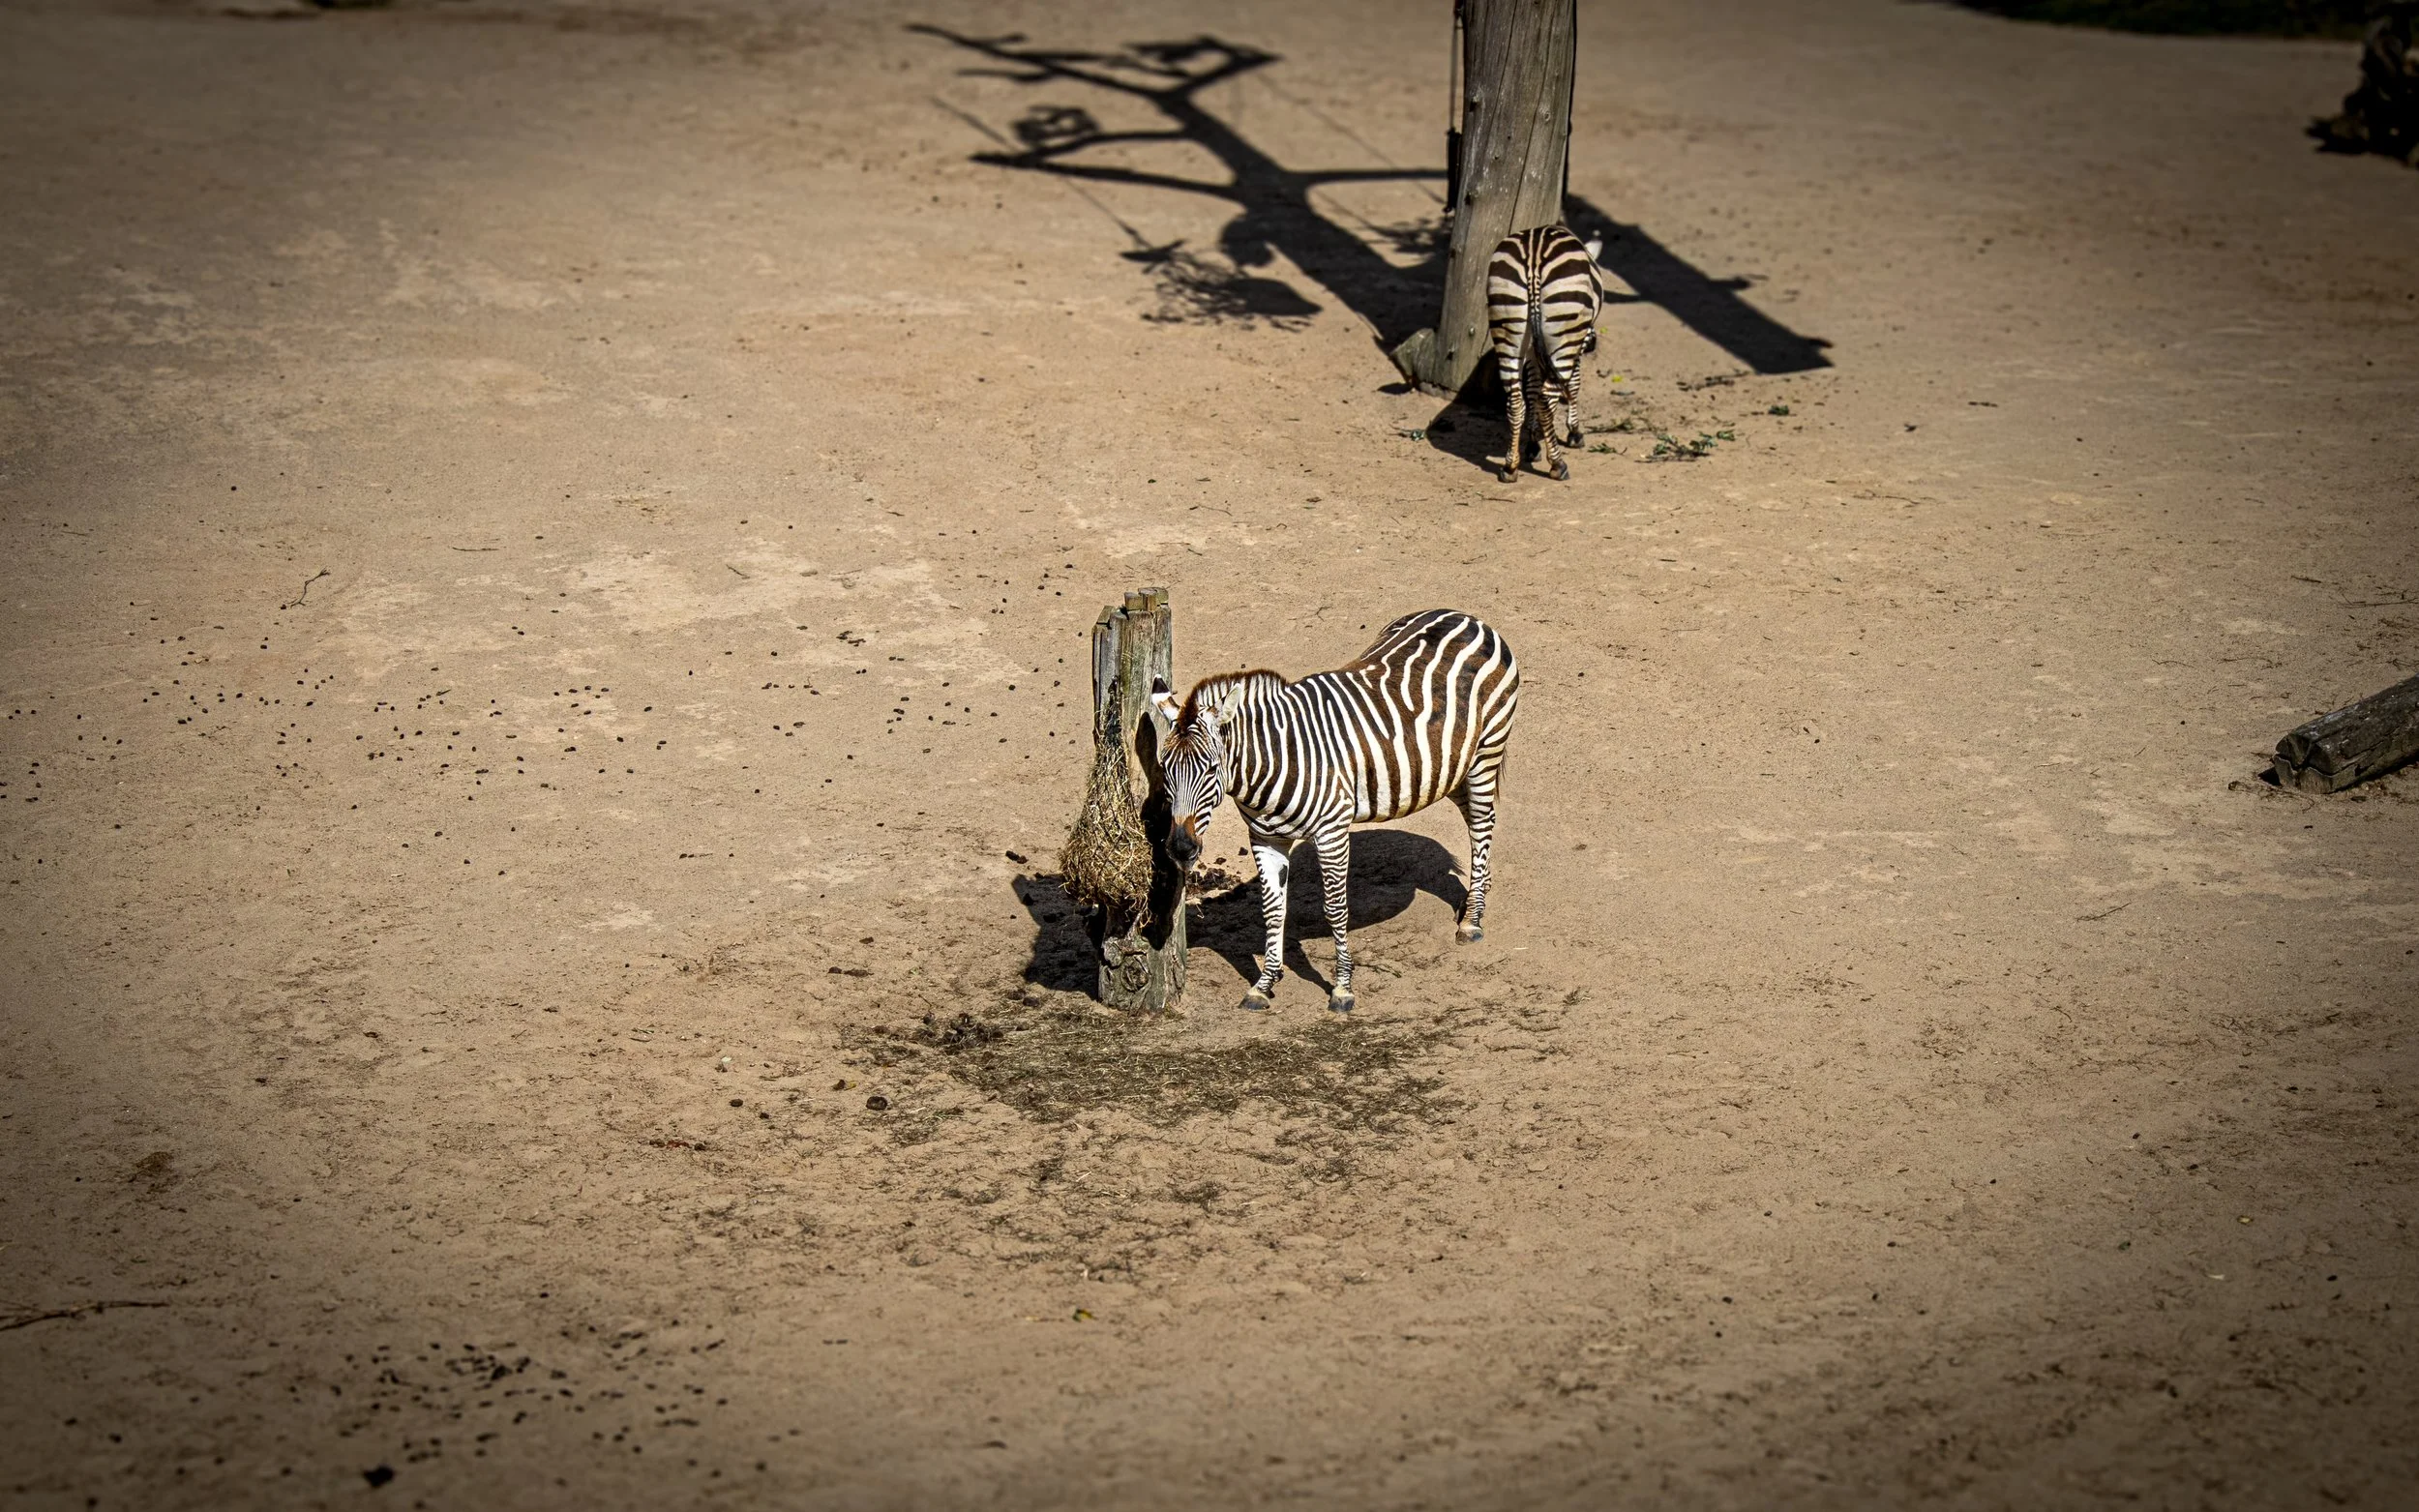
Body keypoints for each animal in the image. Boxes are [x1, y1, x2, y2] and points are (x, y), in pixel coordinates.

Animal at [1146, 610, 1520, 1013]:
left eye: (1212, 769)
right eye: (1165, 770)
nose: (1181, 848)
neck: (1275, 761)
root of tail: (1464, 616)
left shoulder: (1331, 833)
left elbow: (1335, 909)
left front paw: (1342, 988)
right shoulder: (1264, 839)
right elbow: (1272, 909)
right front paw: (1264, 983)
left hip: (1485, 752)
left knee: (1481, 825)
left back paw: (1472, 921)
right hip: (1446, 767)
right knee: (1474, 820)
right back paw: (1475, 896)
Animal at [1487, 224, 1604, 483]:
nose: (1593, 343)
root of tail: (1533, 260)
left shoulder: (1531, 349)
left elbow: (1531, 388)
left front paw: (1532, 443)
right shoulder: (1577, 343)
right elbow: (1574, 384)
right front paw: (1574, 432)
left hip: (1508, 327)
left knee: (1516, 402)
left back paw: (1510, 467)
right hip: (1566, 333)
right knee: (1546, 399)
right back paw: (1558, 465)